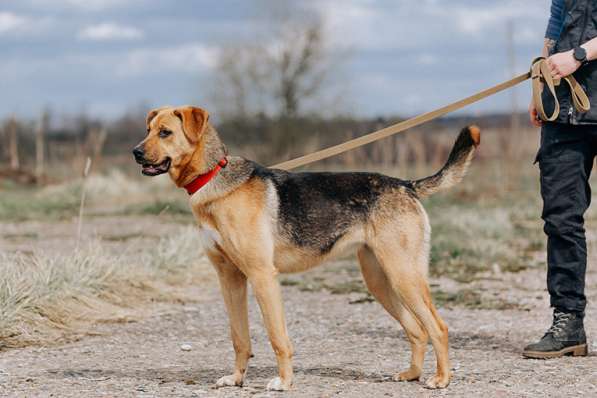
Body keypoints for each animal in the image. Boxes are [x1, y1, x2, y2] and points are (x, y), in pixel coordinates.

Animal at [133, 105, 478, 388]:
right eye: (147, 130)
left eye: (165, 132)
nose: (135, 152)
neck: (212, 178)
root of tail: (407, 185)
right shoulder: (230, 278)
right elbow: (239, 338)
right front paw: (236, 379)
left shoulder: (262, 276)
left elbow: (277, 337)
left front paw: (284, 383)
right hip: (380, 280)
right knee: (417, 330)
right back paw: (412, 374)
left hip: (404, 276)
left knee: (438, 328)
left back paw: (441, 379)